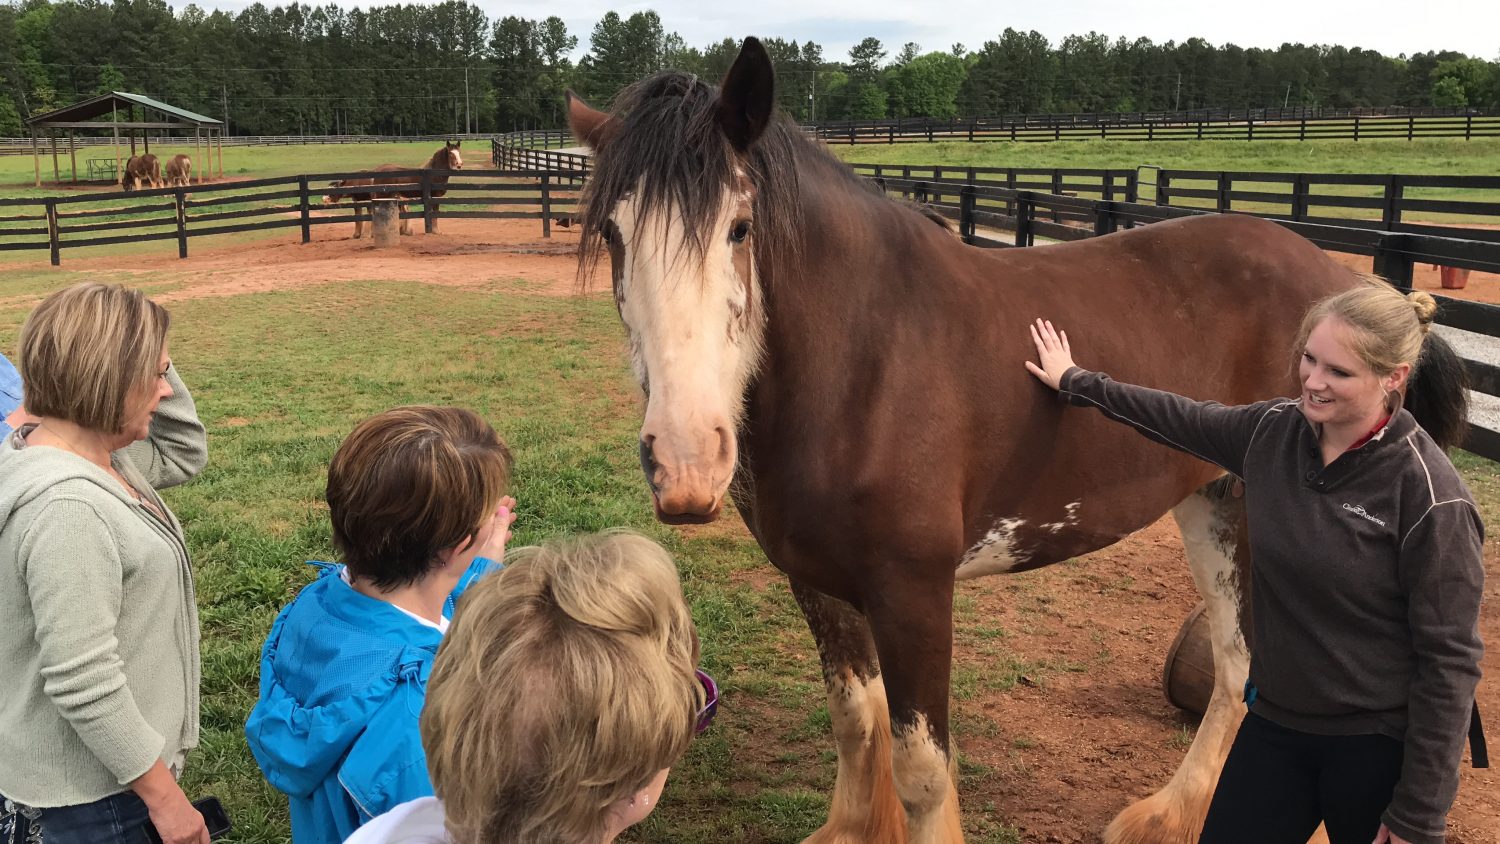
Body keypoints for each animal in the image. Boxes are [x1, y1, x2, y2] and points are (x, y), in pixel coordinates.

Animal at [325, 140, 465, 236]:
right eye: (451, 153)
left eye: (459, 152)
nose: (459, 165)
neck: (432, 173)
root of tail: (377, 171)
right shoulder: (434, 197)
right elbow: (434, 214)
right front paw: (436, 231)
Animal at [567, 39, 1470, 844]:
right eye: (613, 234)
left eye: (741, 227)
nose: (686, 461)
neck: (865, 363)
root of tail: (1347, 280)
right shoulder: (818, 585)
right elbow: (856, 723)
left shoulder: (915, 593)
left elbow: (923, 771)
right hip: (1209, 502)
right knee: (1237, 666)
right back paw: (1170, 817)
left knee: (1255, 672)